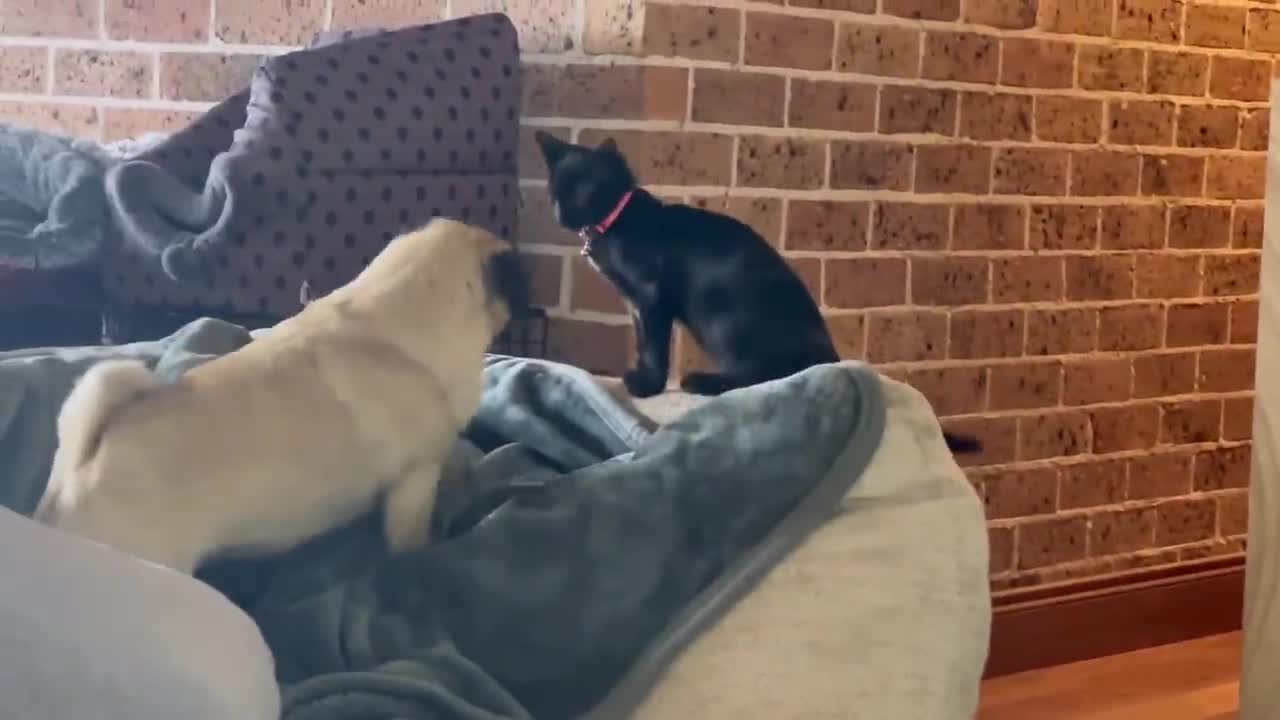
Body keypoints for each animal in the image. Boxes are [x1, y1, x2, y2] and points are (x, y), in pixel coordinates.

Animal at [535, 129, 983, 453]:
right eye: (555, 192)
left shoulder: (651, 298)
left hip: (724, 317)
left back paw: (703, 382)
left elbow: (654, 346)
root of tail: (832, 356)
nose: (560, 214)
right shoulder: (637, 307)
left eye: (584, 190)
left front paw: (648, 385)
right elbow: (645, 342)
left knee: (765, 375)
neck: (617, 222)